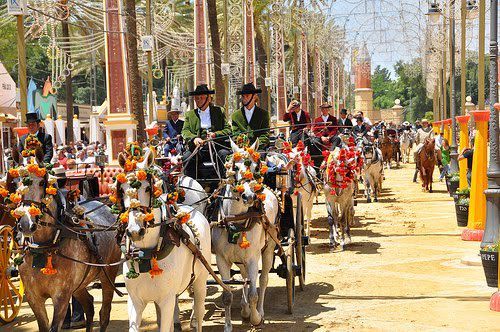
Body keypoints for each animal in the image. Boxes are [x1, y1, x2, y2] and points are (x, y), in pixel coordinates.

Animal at [116, 151, 210, 332]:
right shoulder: (135, 301)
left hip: (200, 281)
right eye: (122, 190)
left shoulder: (166, 300)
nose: (135, 231)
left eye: (148, 188)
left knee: (200, 312)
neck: (146, 254)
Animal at [213, 139, 280, 330]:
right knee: (244, 278)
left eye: (257, 167)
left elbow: (253, 294)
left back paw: (259, 311)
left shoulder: (252, 258)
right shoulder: (222, 259)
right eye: (235, 167)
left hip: (268, 249)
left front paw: (256, 318)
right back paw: (244, 310)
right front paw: (228, 326)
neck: (236, 220)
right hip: (240, 258)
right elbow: (227, 296)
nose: (249, 196)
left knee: (263, 279)